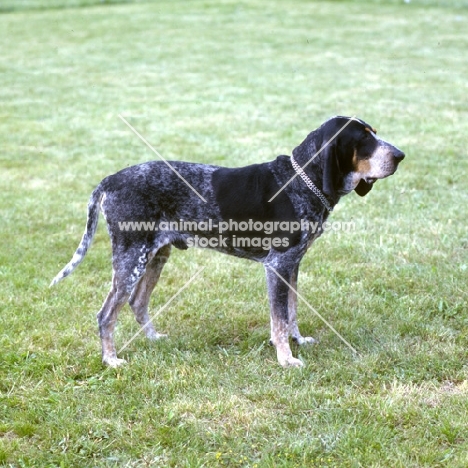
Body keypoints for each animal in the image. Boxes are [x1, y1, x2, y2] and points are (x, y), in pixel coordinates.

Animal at [50, 116, 402, 366]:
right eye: (364, 138)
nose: (400, 155)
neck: (301, 182)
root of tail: (110, 180)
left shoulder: (293, 264)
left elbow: (292, 311)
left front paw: (297, 342)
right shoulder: (278, 265)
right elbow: (279, 319)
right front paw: (286, 358)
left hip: (155, 254)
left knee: (137, 302)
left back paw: (154, 338)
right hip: (131, 258)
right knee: (106, 314)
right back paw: (111, 359)